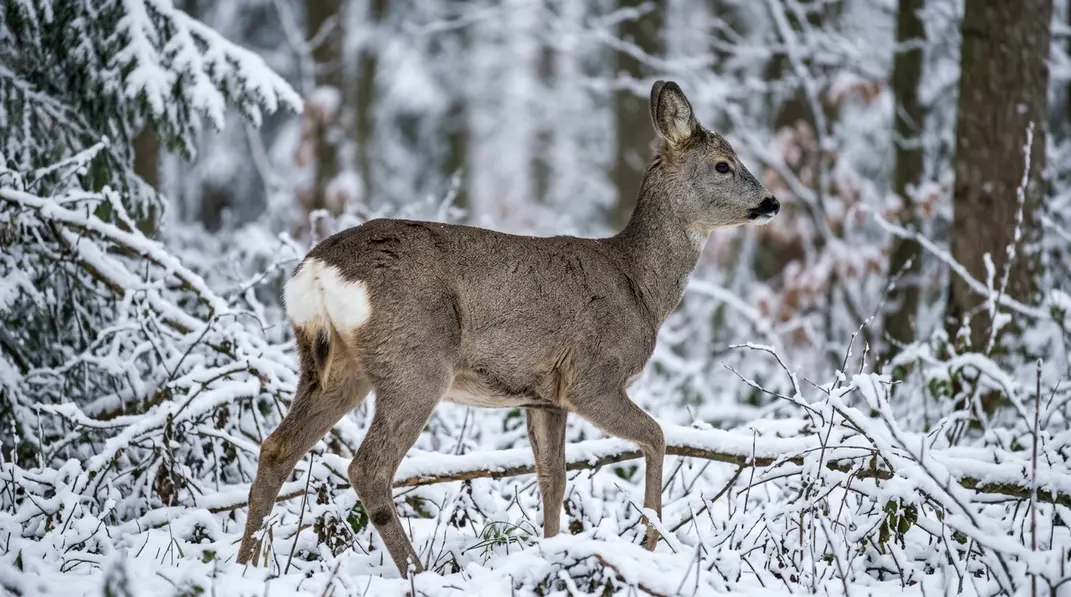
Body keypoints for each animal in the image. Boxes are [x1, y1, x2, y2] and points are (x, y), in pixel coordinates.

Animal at [236, 81, 779, 577]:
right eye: (724, 164)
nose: (772, 202)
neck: (639, 285)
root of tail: (316, 270)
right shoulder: (592, 377)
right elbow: (657, 436)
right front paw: (650, 545)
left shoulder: (543, 397)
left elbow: (553, 479)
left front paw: (552, 553)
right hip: (415, 362)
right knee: (368, 467)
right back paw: (417, 572)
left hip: (330, 364)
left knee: (276, 447)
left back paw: (245, 566)